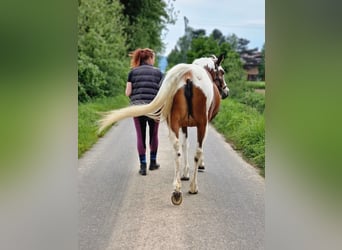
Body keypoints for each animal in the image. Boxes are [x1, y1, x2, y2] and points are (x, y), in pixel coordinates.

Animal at [97, 54, 228, 205]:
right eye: (222, 72)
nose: (226, 91)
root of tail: (189, 75)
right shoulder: (205, 123)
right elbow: (194, 148)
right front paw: (200, 166)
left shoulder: (183, 125)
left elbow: (185, 145)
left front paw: (185, 173)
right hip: (201, 124)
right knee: (197, 151)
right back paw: (193, 187)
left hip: (175, 122)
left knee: (177, 149)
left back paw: (176, 190)